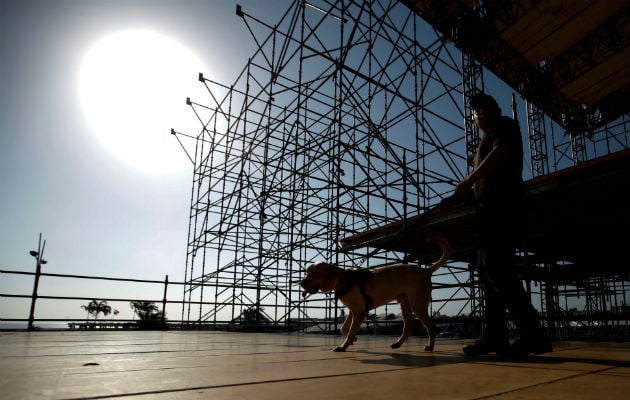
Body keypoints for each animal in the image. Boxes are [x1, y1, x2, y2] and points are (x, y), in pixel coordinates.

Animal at [300, 236, 452, 352]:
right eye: (307, 271)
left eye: (314, 273)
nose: (301, 283)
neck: (344, 280)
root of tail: (425, 271)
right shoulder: (354, 310)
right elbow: (344, 328)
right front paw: (353, 339)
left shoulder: (359, 312)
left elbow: (350, 330)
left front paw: (344, 346)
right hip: (405, 304)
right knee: (408, 327)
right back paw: (398, 344)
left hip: (417, 304)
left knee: (431, 327)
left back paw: (430, 346)